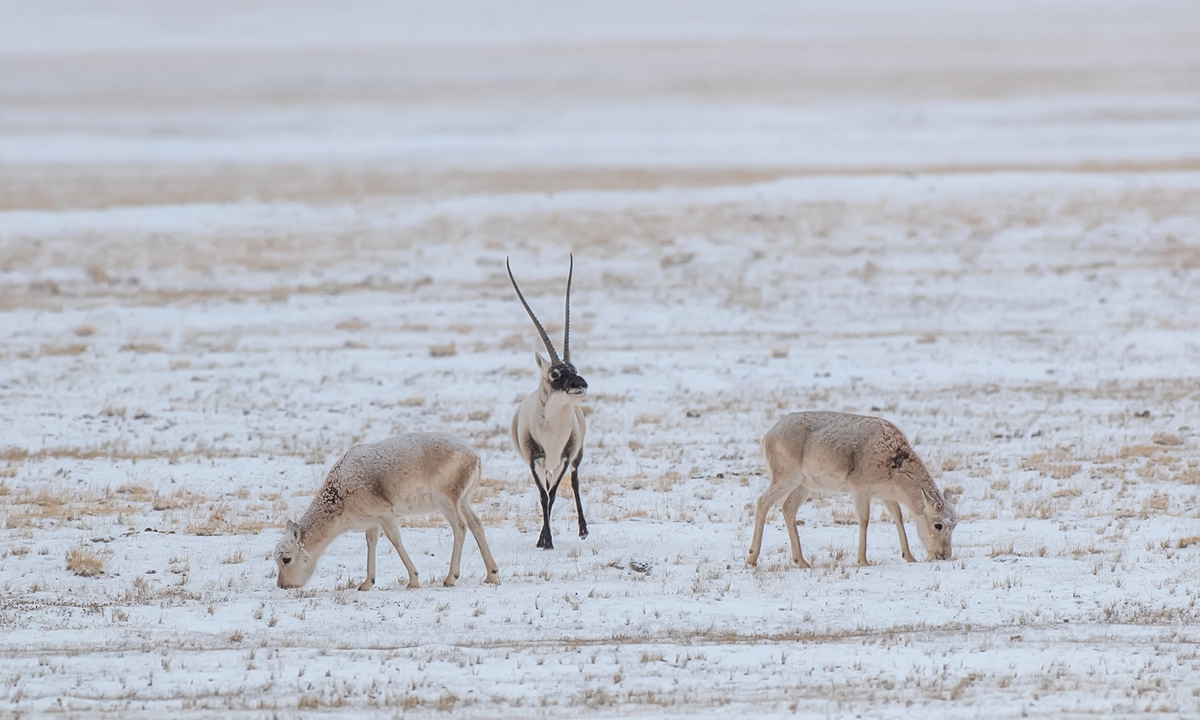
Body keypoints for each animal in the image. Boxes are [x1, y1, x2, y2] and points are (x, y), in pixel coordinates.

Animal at [274, 432, 500, 589]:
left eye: (286, 559)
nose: (283, 585)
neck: (339, 491)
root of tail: (475, 456)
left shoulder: (385, 516)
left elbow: (395, 540)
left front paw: (413, 580)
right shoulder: (372, 522)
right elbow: (371, 543)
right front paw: (367, 583)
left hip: (446, 501)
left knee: (460, 527)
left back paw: (450, 578)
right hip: (463, 501)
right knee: (476, 523)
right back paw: (492, 574)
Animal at [507, 255, 588, 550]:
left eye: (574, 368)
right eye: (554, 373)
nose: (581, 384)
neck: (553, 429)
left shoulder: (564, 458)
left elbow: (553, 494)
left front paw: (546, 538)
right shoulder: (534, 461)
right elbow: (544, 495)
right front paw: (545, 540)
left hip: (574, 458)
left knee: (574, 482)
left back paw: (583, 530)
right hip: (545, 465)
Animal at [747, 411, 956, 569]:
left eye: (954, 525)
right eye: (938, 525)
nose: (944, 555)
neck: (895, 463)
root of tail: (767, 435)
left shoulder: (886, 495)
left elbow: (898, 516)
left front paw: (909, 557)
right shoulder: (860, 490)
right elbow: (864, 519)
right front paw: (863, 560)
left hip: (805, 485)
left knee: (788, 507)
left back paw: (801, 561)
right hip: (786, 477)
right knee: (762, 501)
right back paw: (752, 558)